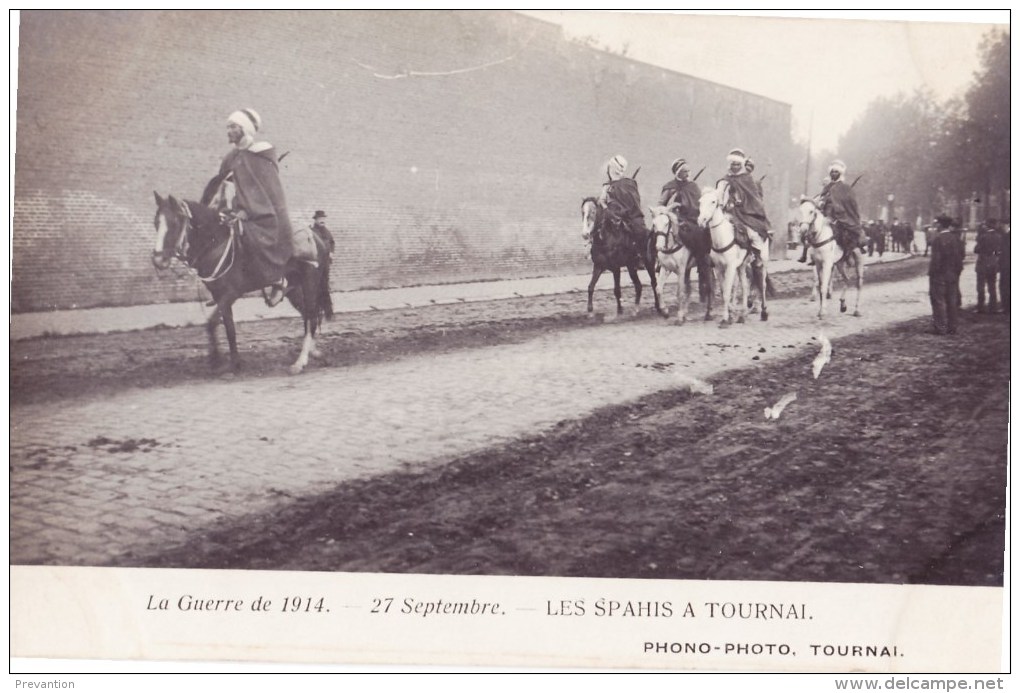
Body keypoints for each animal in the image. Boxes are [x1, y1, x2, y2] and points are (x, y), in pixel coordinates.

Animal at [149, 192, 330, 377]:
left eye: (175, 222)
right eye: (156, 222)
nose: (158, 260)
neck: (216, 243)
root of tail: (317, 238)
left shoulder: (231, 294)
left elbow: (212, 323)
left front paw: (217, 361)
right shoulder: (220, 296)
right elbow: (229, 328)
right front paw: (234, 363)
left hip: (310, 283)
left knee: (311, 317)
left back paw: (300, 362)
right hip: (294, 289)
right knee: (307, 316)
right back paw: (314, 353)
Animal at [697, 182, 767, 326]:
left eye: (713, 201)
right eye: (700, 202)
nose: (701, 220)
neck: (722, 239)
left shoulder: (730, 267)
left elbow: (727, 293)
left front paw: (725, 319)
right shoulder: (718, 268)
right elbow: (725, 291)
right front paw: (731, 314)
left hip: (763, 261)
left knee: (762, 285)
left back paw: (764, 313)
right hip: (741, 266)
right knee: (745, 287)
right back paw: (742, 315)